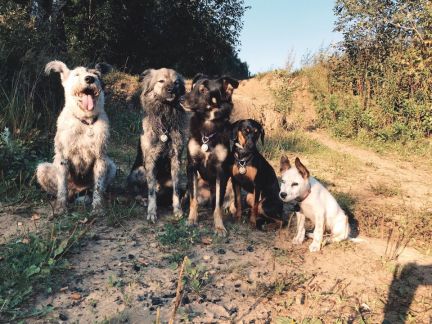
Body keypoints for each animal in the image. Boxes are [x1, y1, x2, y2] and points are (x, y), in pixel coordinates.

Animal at [36, 61, 115, 218]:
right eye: (77, 74)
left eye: (96, 74)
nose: (90, 79)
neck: (85, 122)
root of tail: (77, 190)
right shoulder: (63, 158)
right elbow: (62, 188)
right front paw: (61, 208)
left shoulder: (100, 159)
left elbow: (98, 187)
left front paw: (98, 208)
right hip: (42, 169)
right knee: (63, 191)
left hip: (111, 166)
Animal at [127, 67, 186, 221]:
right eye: (161, 81)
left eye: (176, 83)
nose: (172, 90)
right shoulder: (150, 159)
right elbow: (151, 191)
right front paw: (152, 212)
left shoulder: (176, 159)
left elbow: (176, 191)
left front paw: (177, 209)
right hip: (139, 171)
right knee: (138, 192)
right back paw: (142, 199)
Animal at [180, 73, 240, 235]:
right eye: (193, 87)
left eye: (204, 90)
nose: (180, 98)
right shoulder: (191, 166)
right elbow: (193, 200)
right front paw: (192, 219)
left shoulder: (221, 171)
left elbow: (218, 205)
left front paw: (219, 226)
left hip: (232, 180)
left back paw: (232, 210)